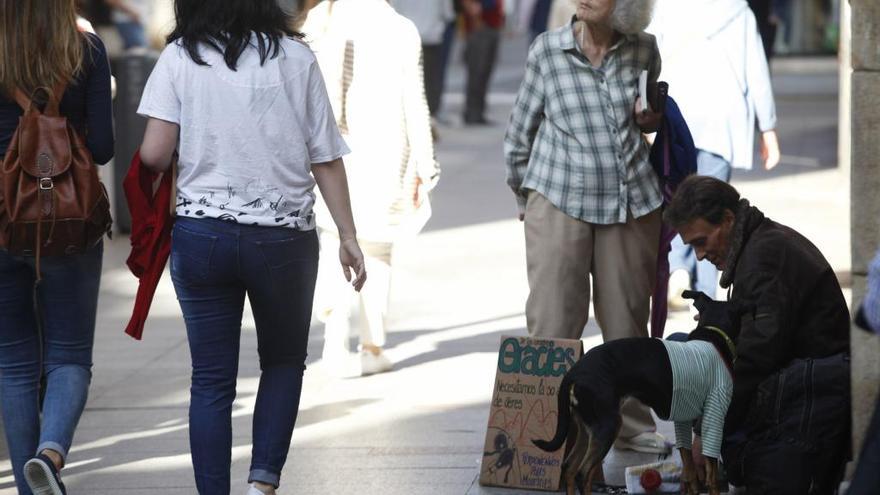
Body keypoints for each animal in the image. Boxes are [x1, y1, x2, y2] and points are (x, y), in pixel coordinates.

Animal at [532, 290, 744, 495]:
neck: (712, 336)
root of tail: (574, 372)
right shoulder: (712, 418)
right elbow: (711, 475)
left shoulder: (684, 420)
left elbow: (690, 472)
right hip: (607, 425)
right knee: (583, 474)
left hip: (586, 427)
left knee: (569, 468)